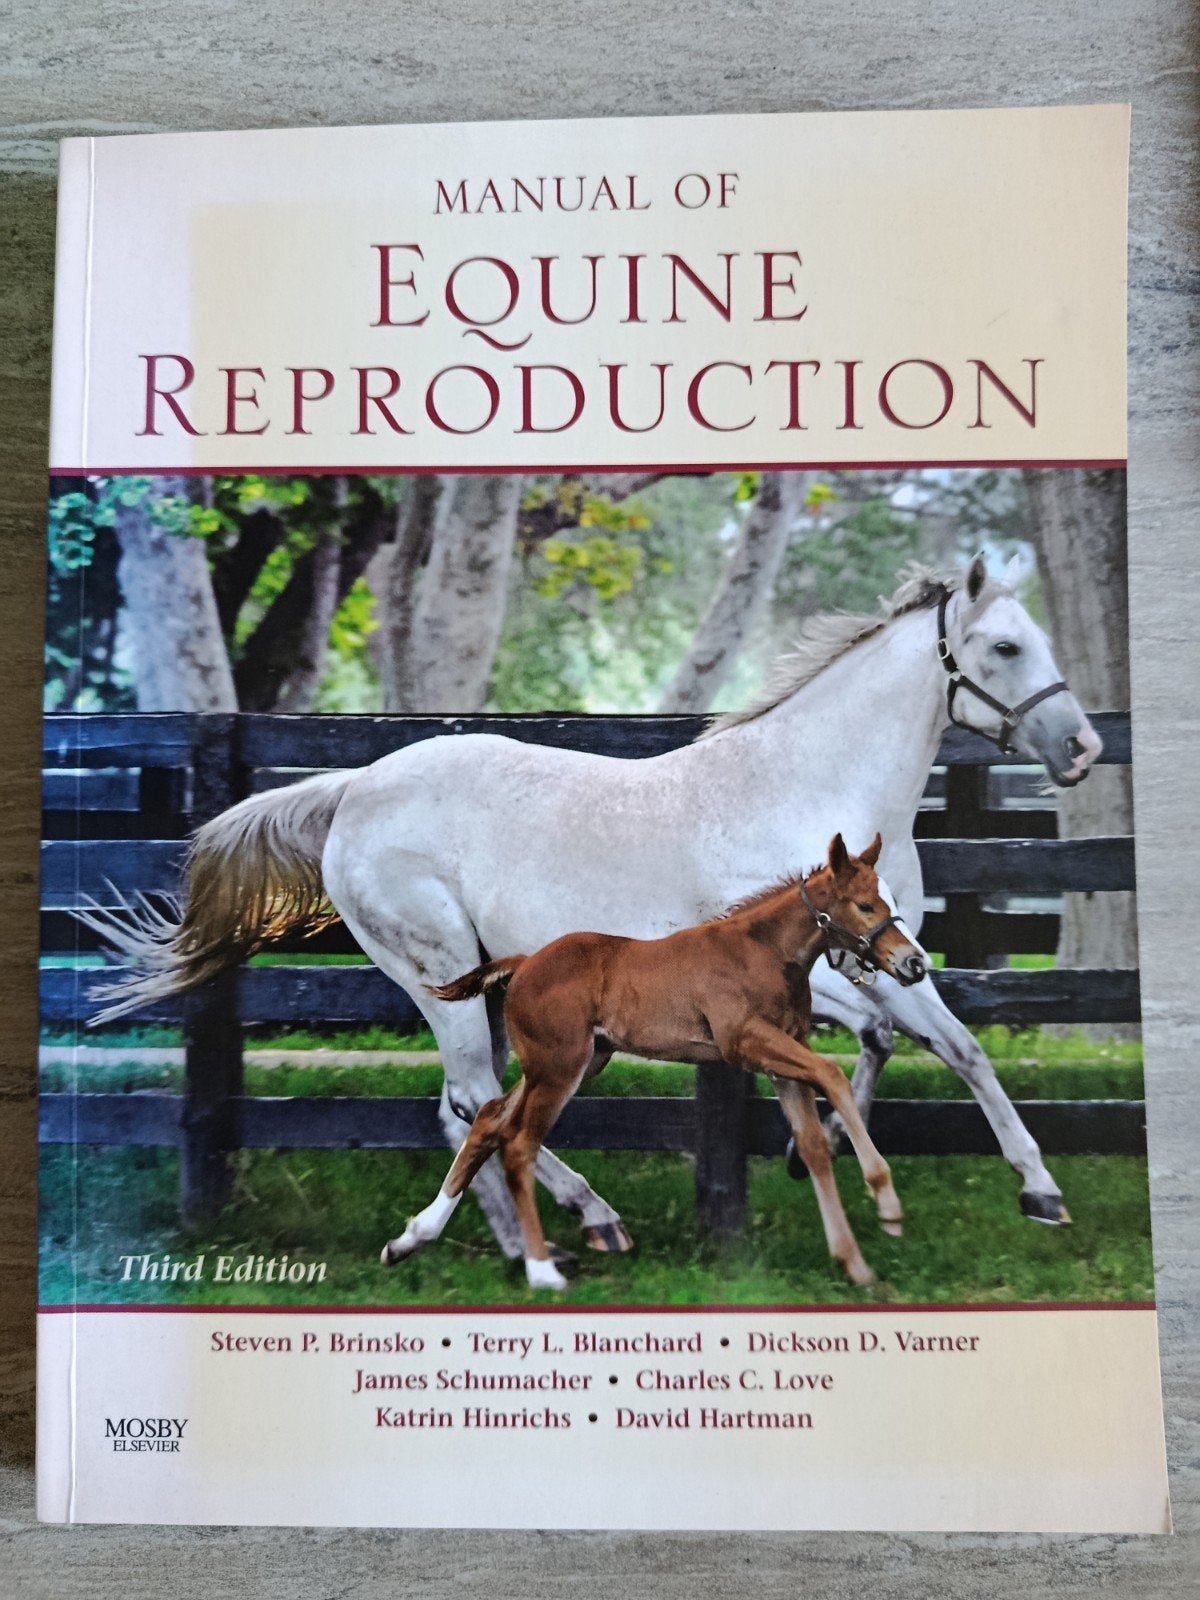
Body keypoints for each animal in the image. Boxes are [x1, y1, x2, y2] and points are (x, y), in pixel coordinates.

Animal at [386, 834, 928, 1290]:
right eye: (865, 905)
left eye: (893, 902)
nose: (915, 963)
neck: (764, 953)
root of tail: (522, 964)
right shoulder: (745, 1041)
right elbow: (833, 1074)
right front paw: (887, 1203)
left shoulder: (782, 1058)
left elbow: (813, 1146)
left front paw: (854, 1264)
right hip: (560, 1068)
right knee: (518, 1144)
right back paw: (542, 1271)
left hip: (573, 1062)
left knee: (488, 1119)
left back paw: (410, 1239)